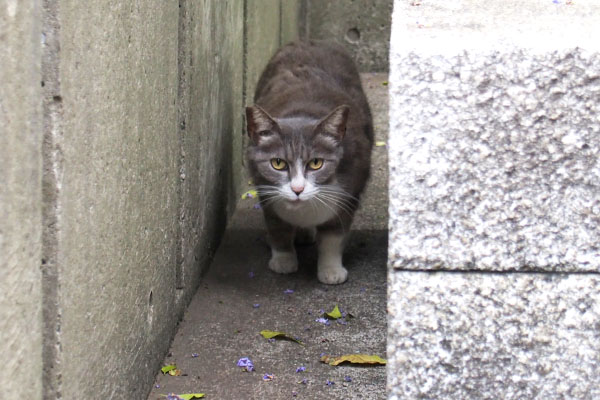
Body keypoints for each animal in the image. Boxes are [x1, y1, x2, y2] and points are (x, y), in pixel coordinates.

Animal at [244, 40, 370, 284]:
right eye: (278, 163)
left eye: (316, 163)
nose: (298, 189)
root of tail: (310, 41)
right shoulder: (265, 190)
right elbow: (278, 227)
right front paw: (283, 260)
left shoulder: (349, 192)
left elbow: (333, 236)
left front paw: (331, 271)